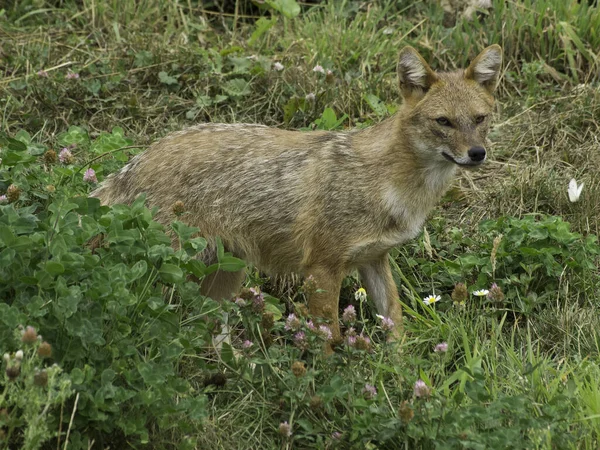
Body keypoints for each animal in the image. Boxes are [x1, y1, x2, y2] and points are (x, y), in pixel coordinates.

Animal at [90, 44, 502, 344]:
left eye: (479, 119)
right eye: (443, 121)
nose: (477, 154)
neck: (390, 184)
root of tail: (135, 161)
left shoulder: (374, 260)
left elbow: (395, 326)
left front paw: (404, 379)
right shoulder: (322, 268)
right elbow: (328, 337)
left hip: (224, 279)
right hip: (168, 276)